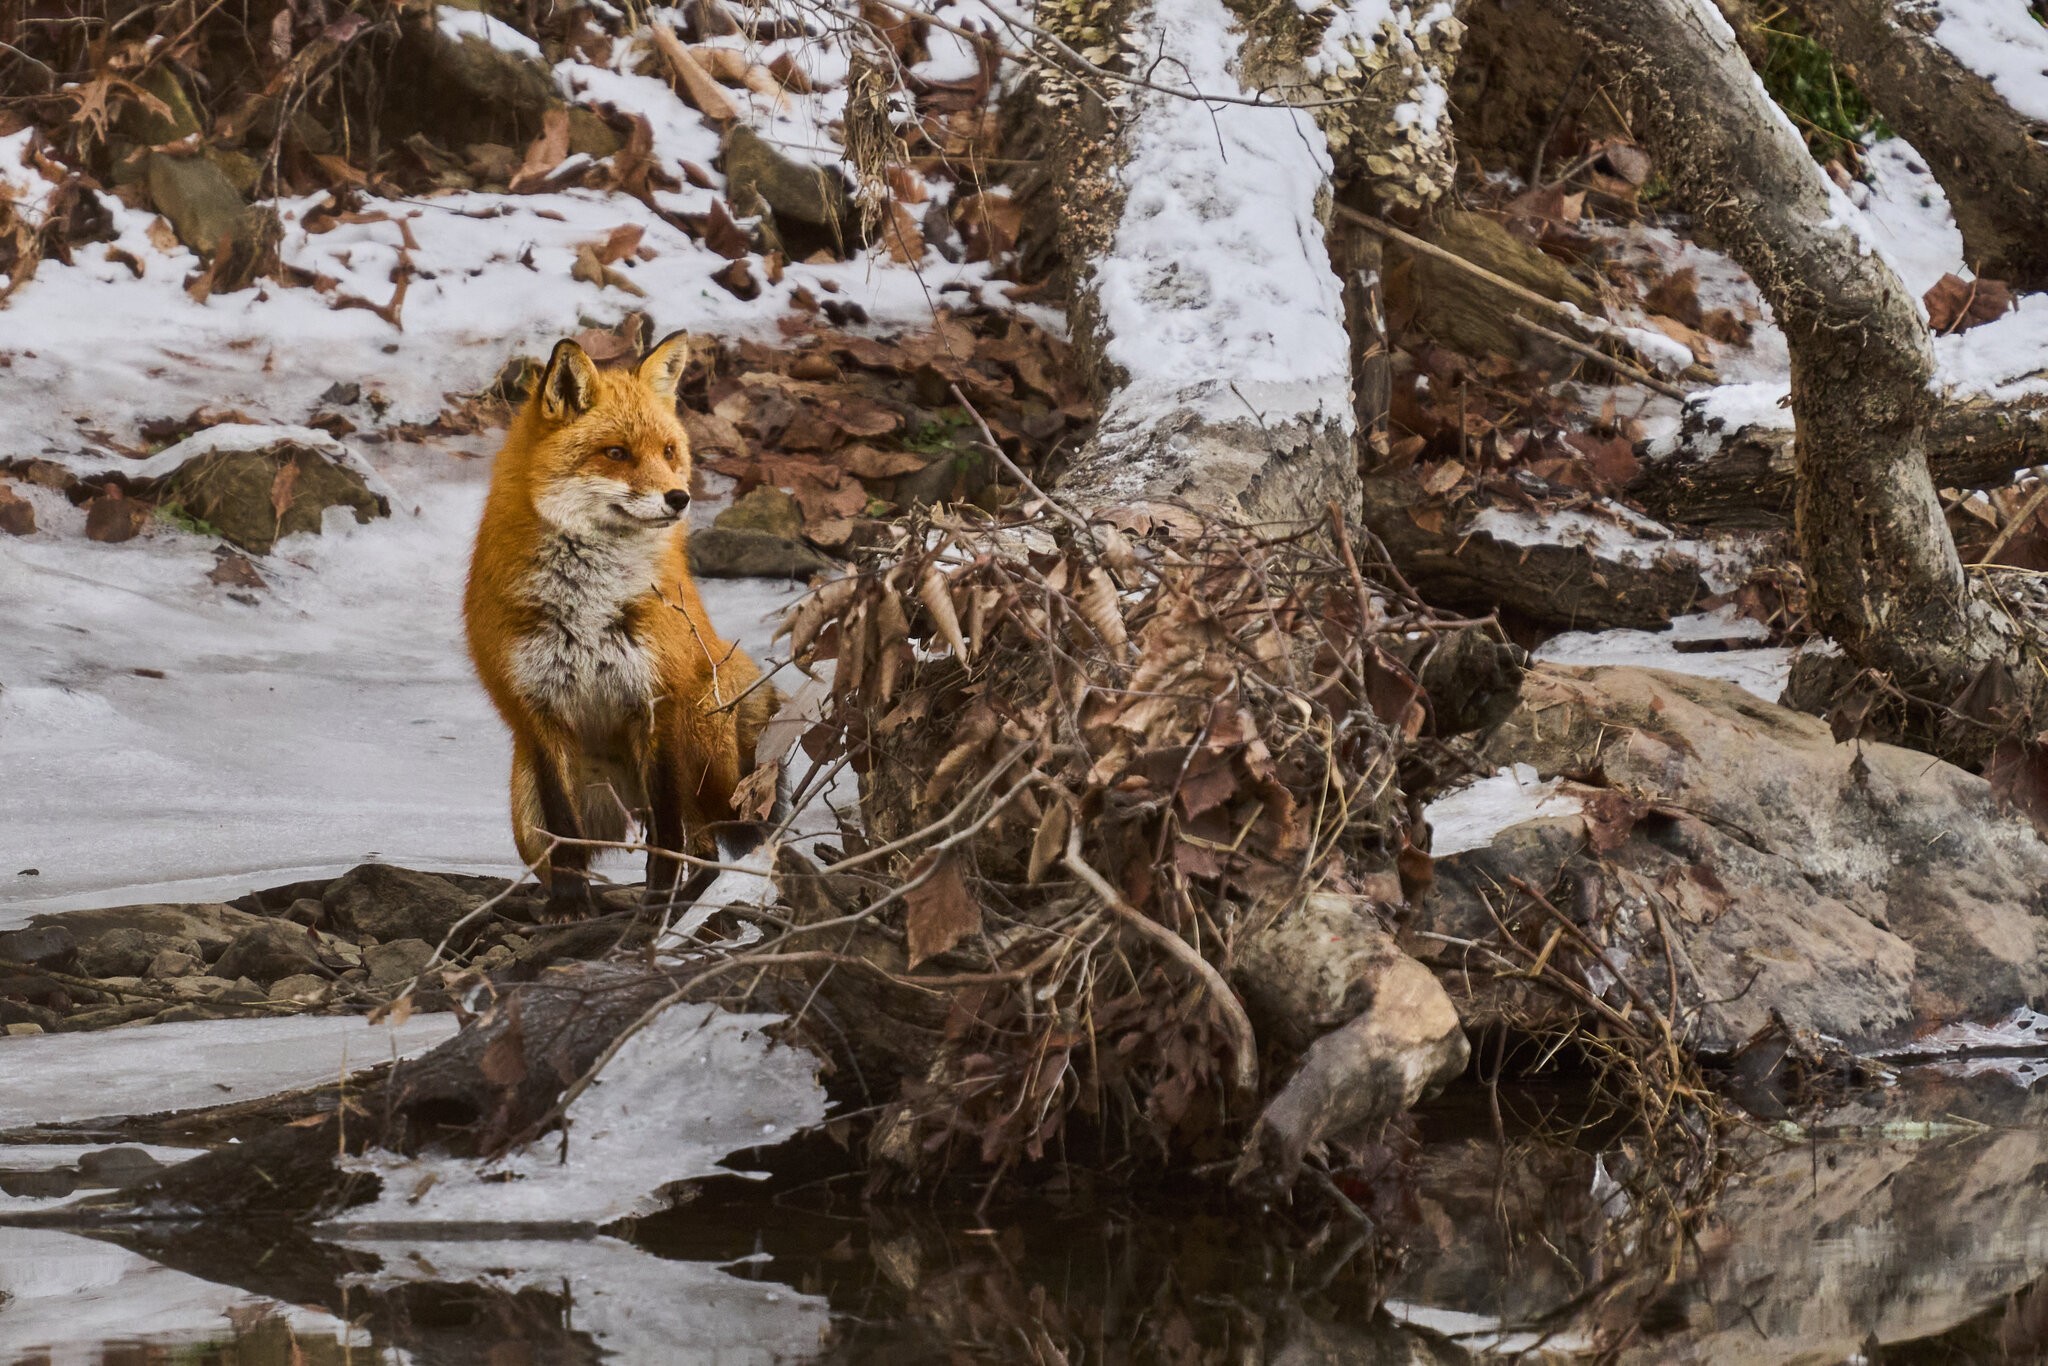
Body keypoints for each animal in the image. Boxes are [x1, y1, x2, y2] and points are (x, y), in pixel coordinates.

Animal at [464, 333, 774, 917]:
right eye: (616, 453)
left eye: (669, 452)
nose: (680, 498)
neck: (587, 603)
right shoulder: (538, 712)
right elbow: (567, 833)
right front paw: (568, 905)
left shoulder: (655, 704)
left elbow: (668, 836)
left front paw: (656, 906)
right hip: (523, 814)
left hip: (703, 751)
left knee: (709, 844)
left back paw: (686, 899)